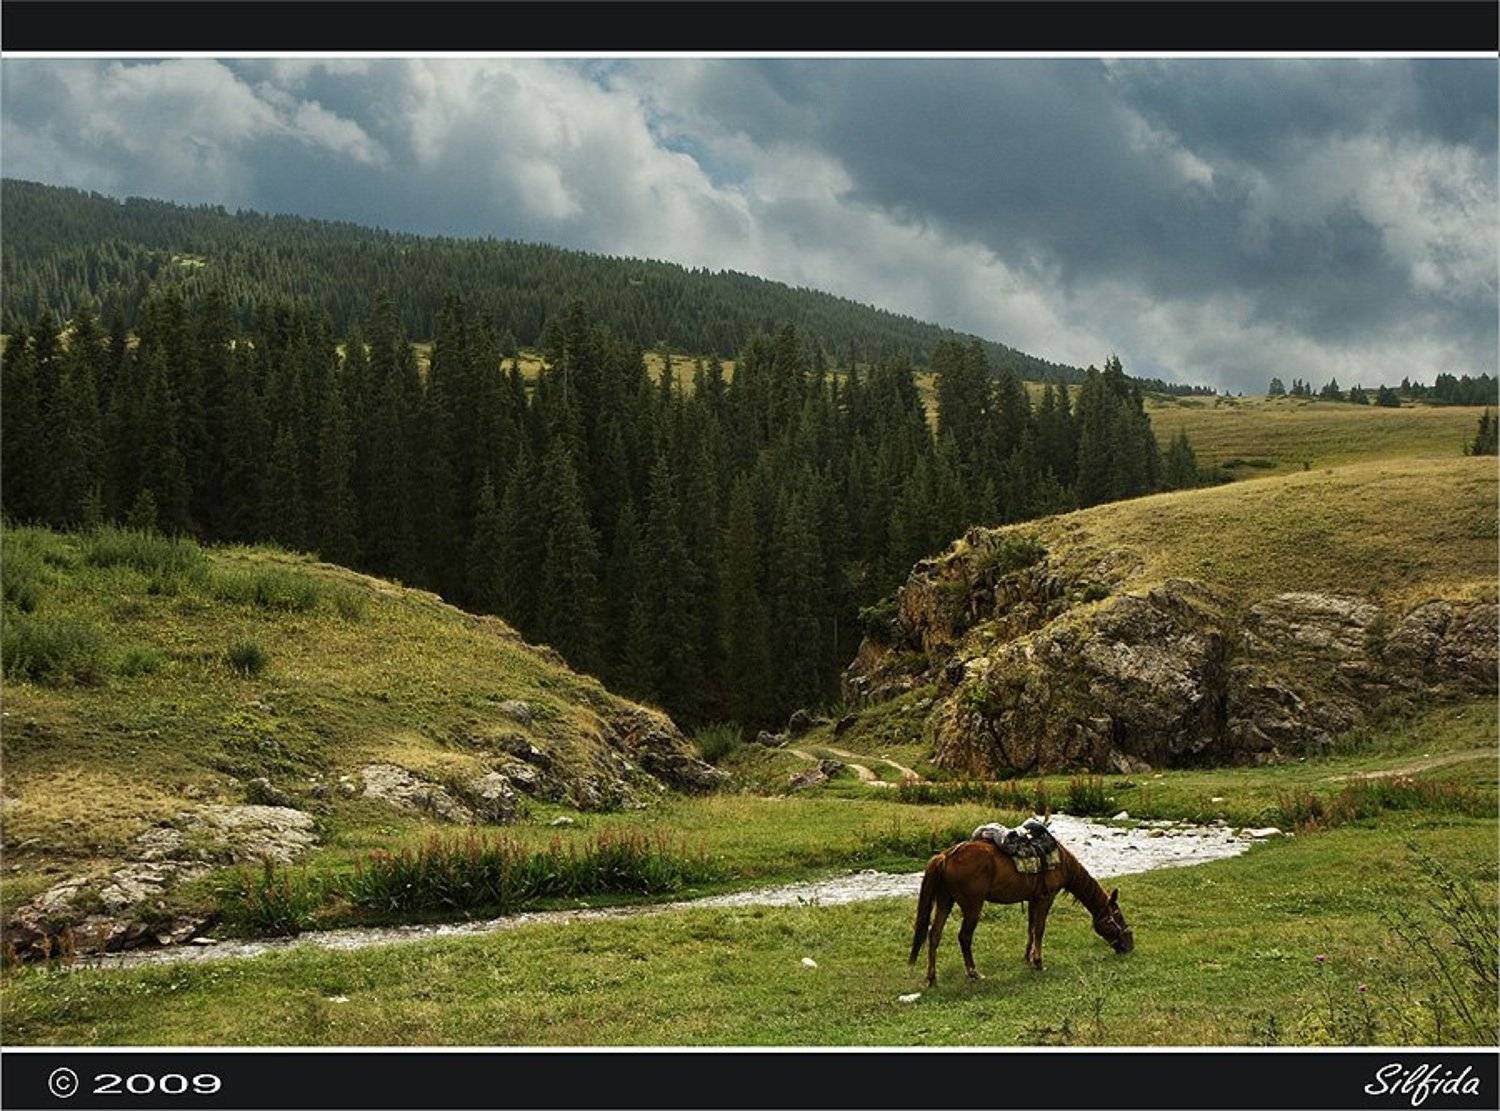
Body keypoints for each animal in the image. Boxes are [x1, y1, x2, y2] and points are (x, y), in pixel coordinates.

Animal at [908, 837, 1133, 984]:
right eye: (1118, 917)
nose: (1129, 946)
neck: (1063, 863)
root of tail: (945, 856)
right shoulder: (1046, 898)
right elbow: (1039, 929)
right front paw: (1039, 962)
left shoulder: (1033, 899)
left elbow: (1031, 928)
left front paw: (1028, 957)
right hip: (972, 906)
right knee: (964, 937)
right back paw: (973, 973)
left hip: (945, 901)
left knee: (934, 934)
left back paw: (932, 977)